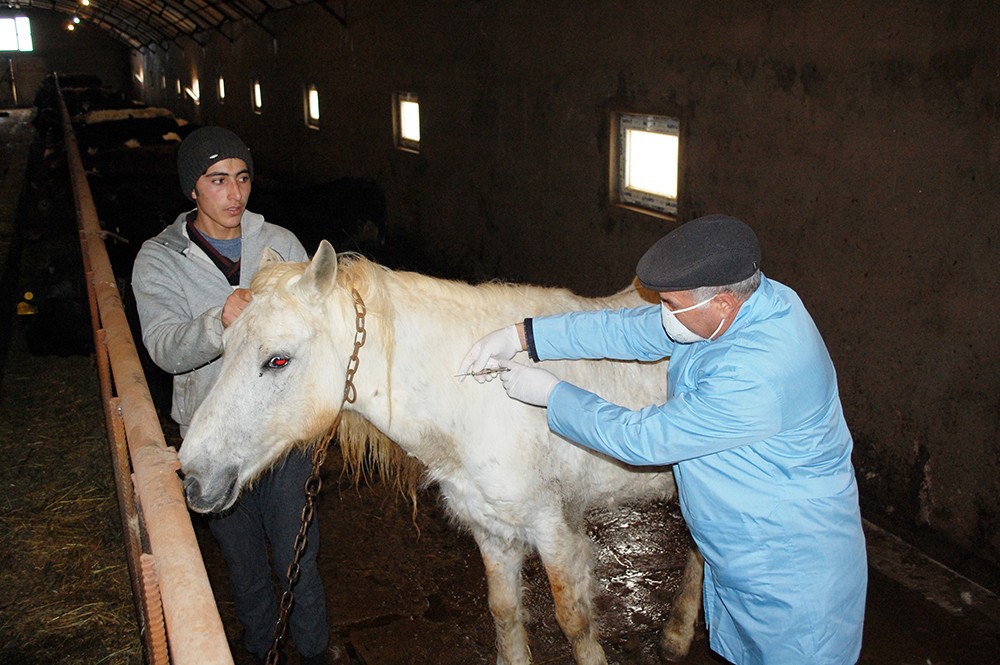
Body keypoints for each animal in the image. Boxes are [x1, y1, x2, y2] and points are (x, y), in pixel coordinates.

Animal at [180, 241, 704, 664]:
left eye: (278, 359)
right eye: (223, 344)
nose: (193, 476)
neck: (476, 398)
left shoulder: (555, 526)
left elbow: (573, 620)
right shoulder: (491, 529)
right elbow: (504, 613)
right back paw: (677, 637)